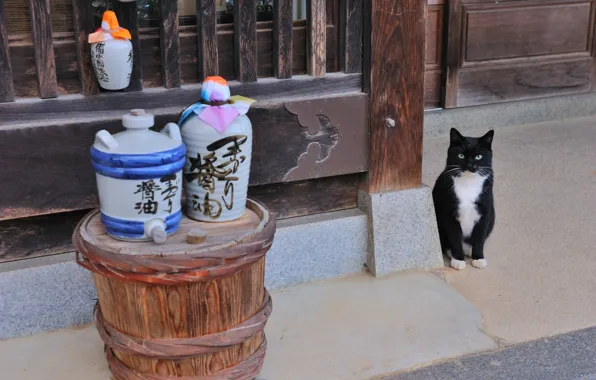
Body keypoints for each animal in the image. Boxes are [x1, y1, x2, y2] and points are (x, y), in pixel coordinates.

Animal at [430, 127, 496, 270]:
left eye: (478, 156)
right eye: (461, 155)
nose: (470, 166)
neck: (468, 184)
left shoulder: (484, 213)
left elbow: (480, 237)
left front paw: (478, 258)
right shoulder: (449, 214)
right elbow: (455, 238)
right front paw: (458, 260)